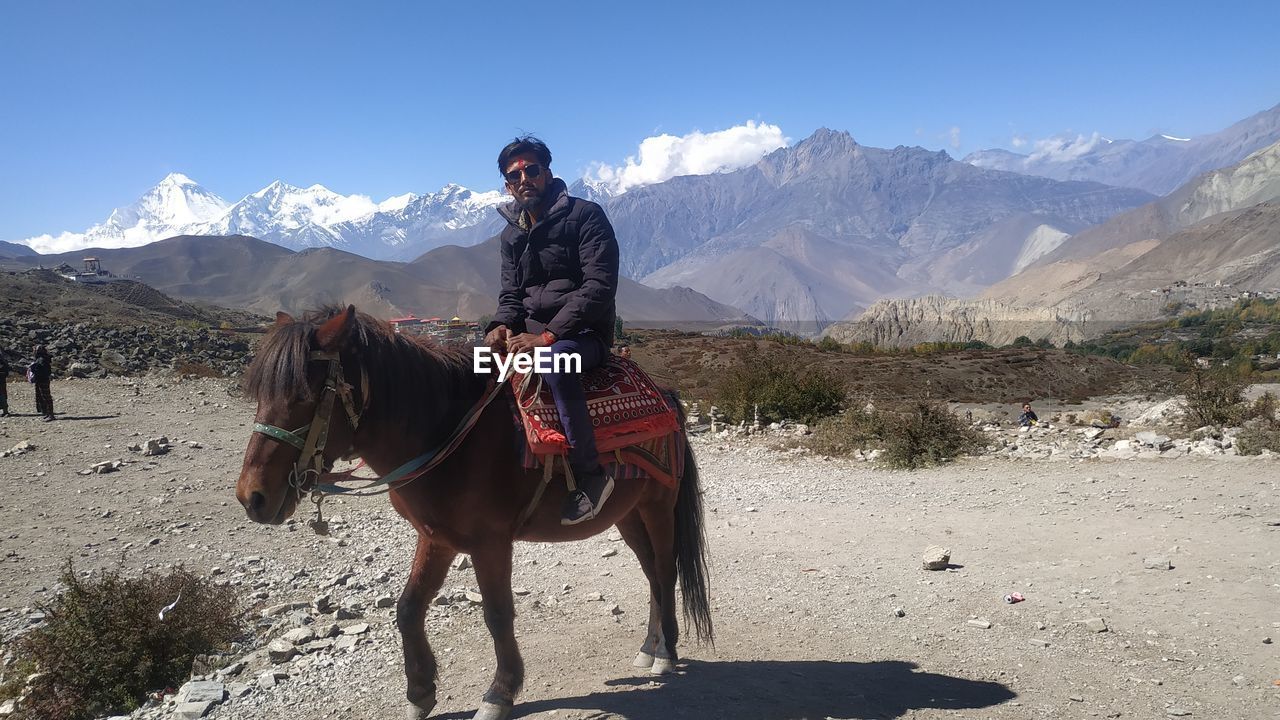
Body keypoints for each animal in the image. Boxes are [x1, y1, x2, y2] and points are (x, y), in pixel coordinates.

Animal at [232, 304, 711, 712]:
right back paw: (649, 648)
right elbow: (408, 609)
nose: (251, 497)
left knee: (665, 571)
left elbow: (497, 614)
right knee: (651, 573)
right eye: (258, 393)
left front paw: (500, 692)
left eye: (305, 395)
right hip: (627, 514)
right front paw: (420, 693)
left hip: (658, 505)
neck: (444, 430)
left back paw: (666, 652)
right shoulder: (437, 538)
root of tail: (667, 397)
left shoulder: (490, 542)